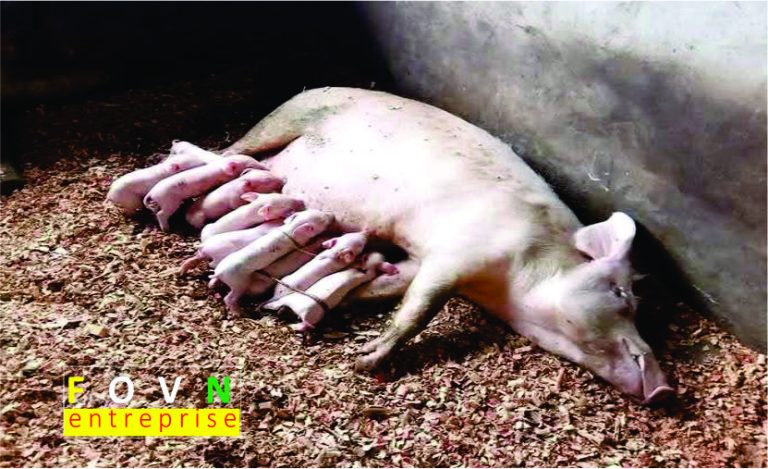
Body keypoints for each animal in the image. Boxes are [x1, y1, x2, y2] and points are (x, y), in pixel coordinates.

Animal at [263, 252, 398, 331]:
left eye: (366, 256)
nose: (369, 251)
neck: (364, 269)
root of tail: (302, 311)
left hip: (310, 312)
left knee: (303, 323)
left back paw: (292, 326)